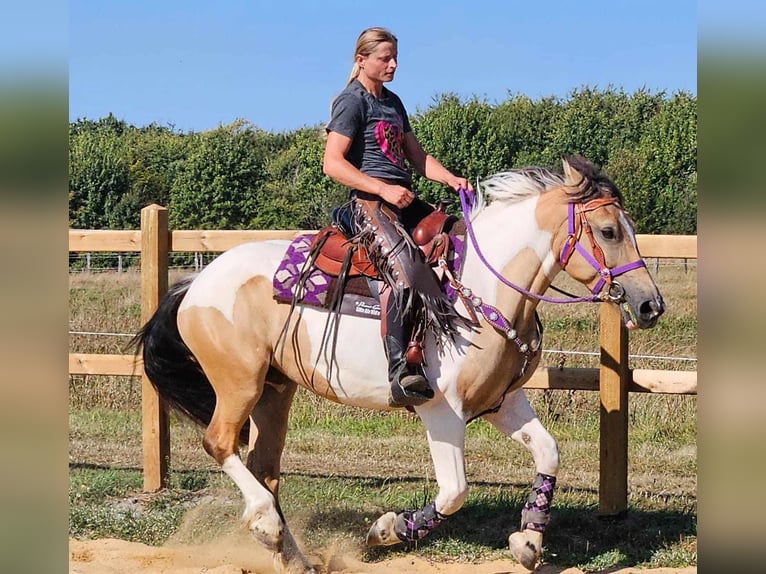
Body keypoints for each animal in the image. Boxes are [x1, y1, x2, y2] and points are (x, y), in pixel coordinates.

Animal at [135, 155, 664, 572]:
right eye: (608, 231)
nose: (649, 306)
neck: (481, 291)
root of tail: (194, 284)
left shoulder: (502, 402)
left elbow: (548, 453)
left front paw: (528, 541)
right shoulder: (442, 413)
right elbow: (453, 492)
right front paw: (386, 530)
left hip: (275, 390)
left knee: (262, 465)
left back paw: (293, 557)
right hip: (239, 385)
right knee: (221, 444)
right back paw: (267, 526)